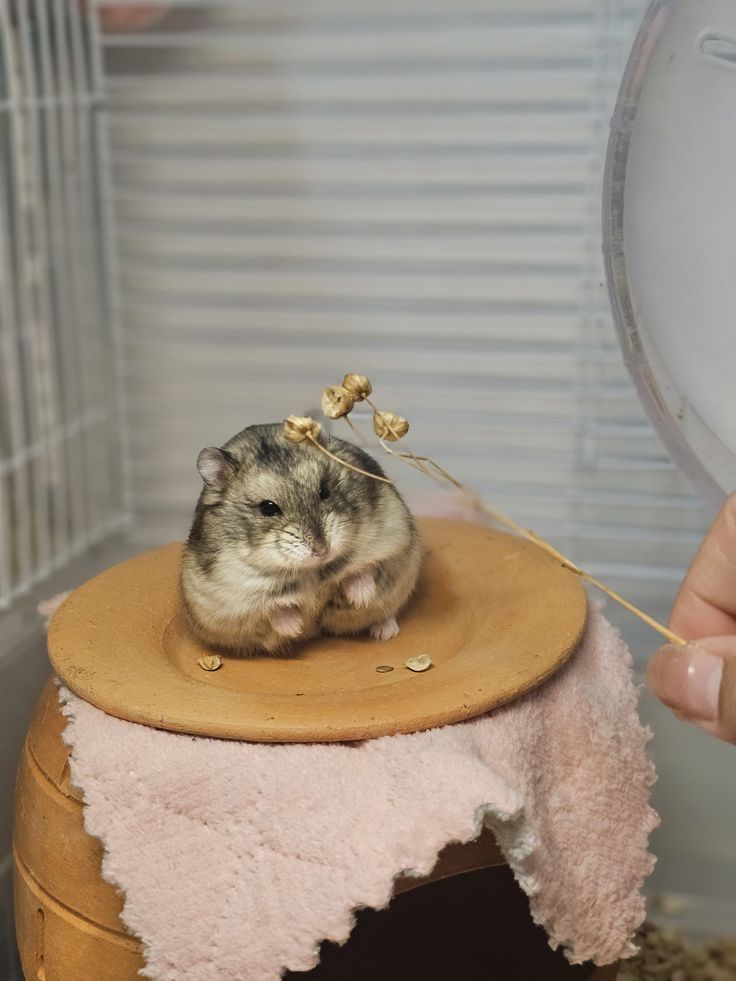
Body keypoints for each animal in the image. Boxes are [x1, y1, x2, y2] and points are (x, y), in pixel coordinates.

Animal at [180, 422, 422, 656]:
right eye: (268, 508)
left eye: (324, 491)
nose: (322, 550)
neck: (312, 570)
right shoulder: (235, 596)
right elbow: (274, 610)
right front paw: (296, 628)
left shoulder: (391, 538)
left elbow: (362, 572)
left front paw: (360, 599)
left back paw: (385, 632)